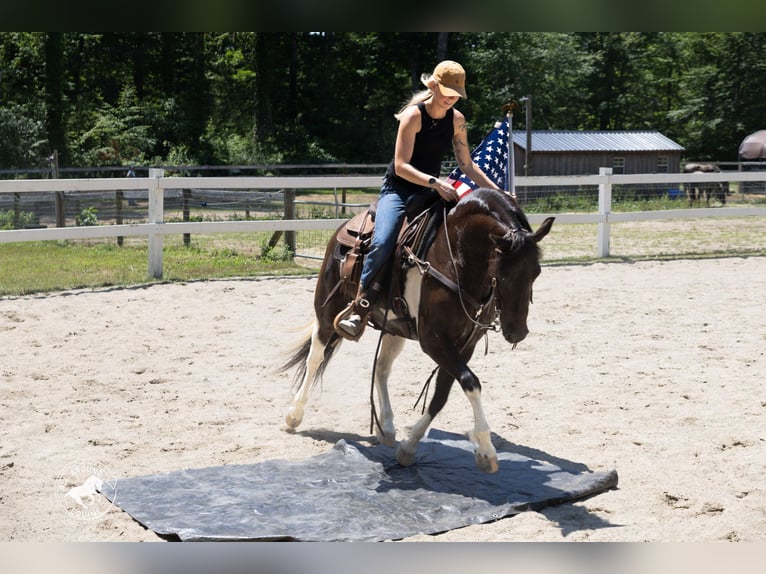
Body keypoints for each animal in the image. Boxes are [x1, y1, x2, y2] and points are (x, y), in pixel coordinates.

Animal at [280, 188, 554, 473]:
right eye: (502, 273)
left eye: (536, 272)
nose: (517, 332)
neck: (456, 255)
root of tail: (344, 228)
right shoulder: (433, 339)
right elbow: (471, 382)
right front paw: (487, 450)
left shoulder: (465, 344)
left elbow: (443, 393)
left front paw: (409, 446)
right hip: (328, 310)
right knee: (315, 356)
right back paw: (294, 414)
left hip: (394, 328)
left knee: (381, 368)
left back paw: (387, 427)